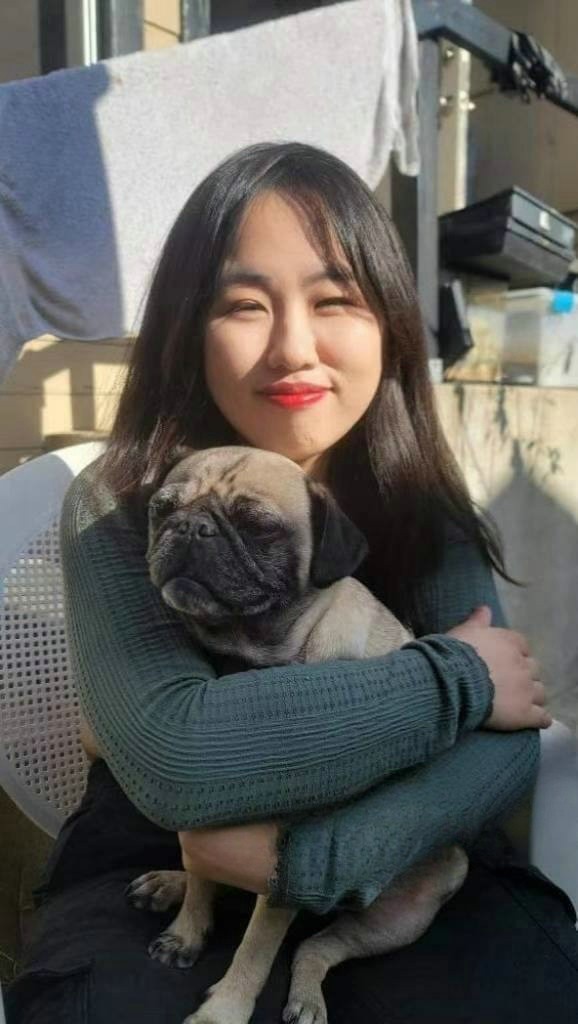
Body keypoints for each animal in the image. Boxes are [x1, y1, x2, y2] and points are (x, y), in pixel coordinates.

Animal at [120, 445, 469, 1024]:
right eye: (161, 510)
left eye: (258, 527)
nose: (191, 526)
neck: (249, 658)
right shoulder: (203, 816)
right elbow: (203, 884)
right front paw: (186, 930)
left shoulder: (287, 865)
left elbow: (256, 949)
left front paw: (224, 1011)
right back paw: (170, 882)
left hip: (398, 914)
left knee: (315, 948)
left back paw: (306, 996)